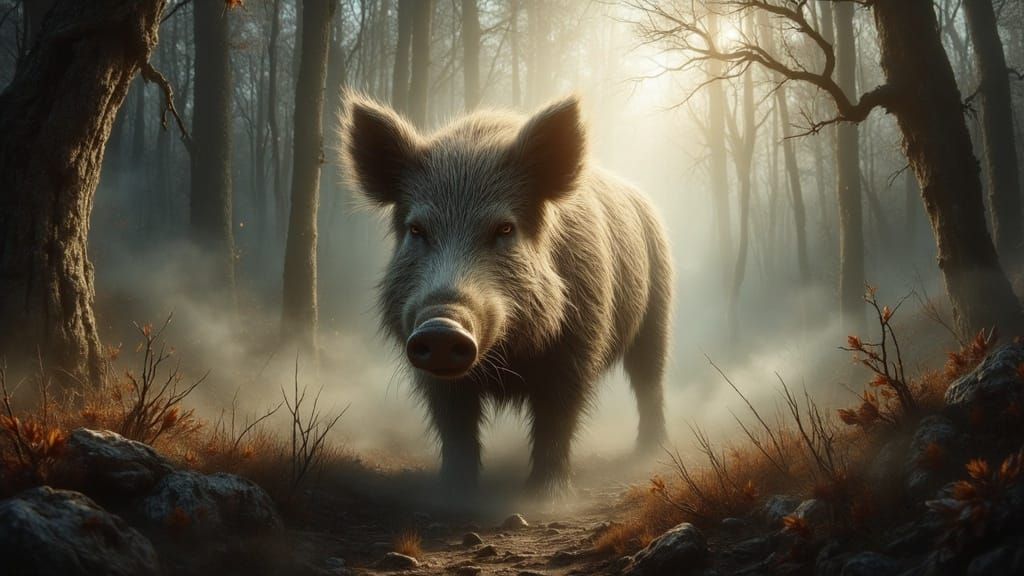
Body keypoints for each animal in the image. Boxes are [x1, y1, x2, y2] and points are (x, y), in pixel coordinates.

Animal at [341, 93, 672, 496]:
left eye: (504, 228)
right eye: (417, 229)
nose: (441, 328)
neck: (506, 358)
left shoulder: (578, 344)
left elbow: (556, 418)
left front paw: (547, 496)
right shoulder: (426, 364)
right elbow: (455, 425)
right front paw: (454, 491)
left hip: (657, 312)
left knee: (648, 379)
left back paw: (650, 449)